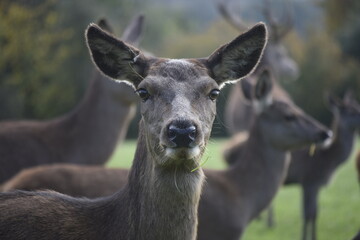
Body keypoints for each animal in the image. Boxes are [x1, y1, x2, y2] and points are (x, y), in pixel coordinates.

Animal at [282, 91, 360, 240]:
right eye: (351, 111)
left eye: (357, 106)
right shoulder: (308, 180)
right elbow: (307, 214)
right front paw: (305, 237)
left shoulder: (316, 185)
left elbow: (315, 213)